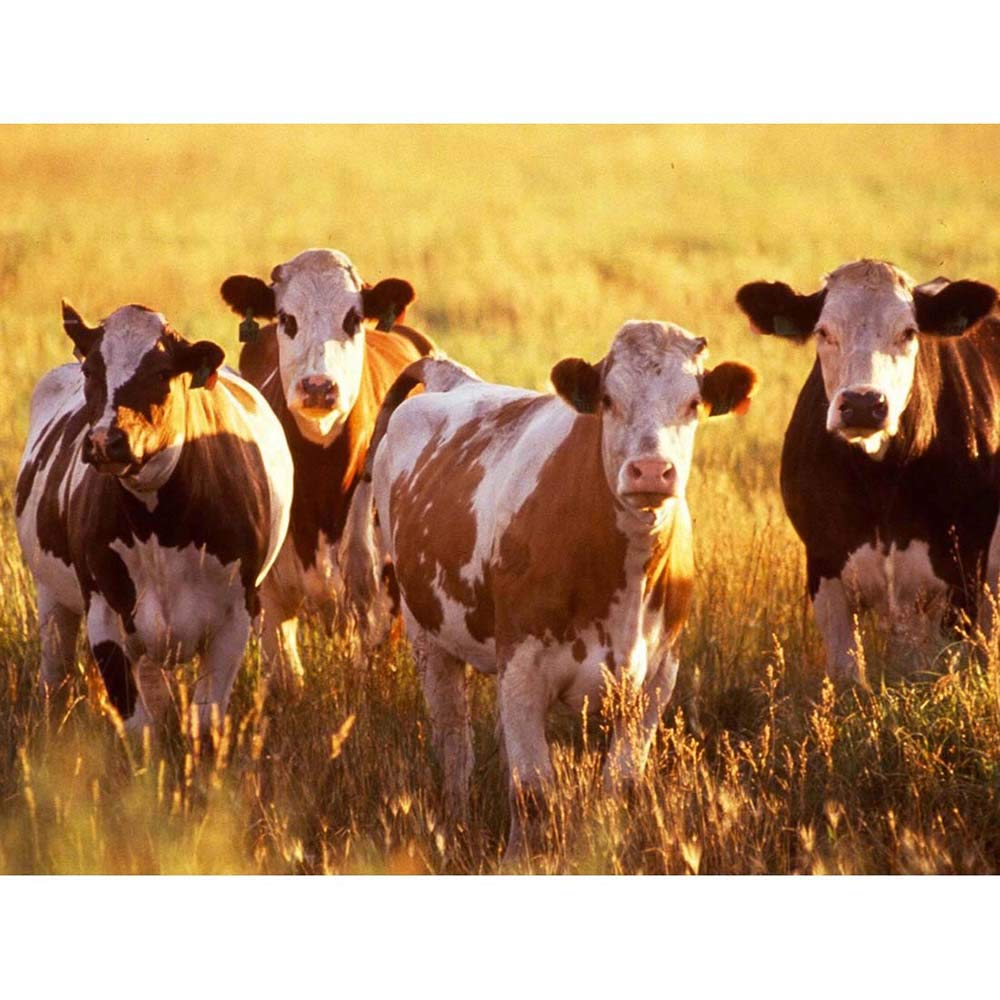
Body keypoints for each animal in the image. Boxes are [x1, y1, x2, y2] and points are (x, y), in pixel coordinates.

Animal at [15, 301, 293, 734]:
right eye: (91, 370)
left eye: (162, 372)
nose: (105, 440)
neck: (159, 527)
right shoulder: (105, 614)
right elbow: (138, 725)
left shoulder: (237, 616)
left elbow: (206, 721)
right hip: (52, 596)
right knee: (55, 674)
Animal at [344, 321, 758, 855]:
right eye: (608, 399)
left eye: (692, 403)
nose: (650, 470)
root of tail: (454, 380)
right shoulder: (522, 666)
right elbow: (533, 792)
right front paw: (519, 860)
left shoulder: (656, 680)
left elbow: (619, 786)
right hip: (428, 637)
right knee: (454, 744)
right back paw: (456, 824)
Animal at [736, 259, 1000, 684]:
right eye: (823, 331)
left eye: (908, 332)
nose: (862, 404)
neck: (881, 482)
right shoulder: (824, 566)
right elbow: (847, 675)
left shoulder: (963, 570)